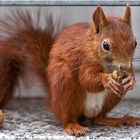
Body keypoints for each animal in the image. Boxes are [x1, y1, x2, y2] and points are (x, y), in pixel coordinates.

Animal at [0, 6, 138, 136]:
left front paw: (130, 79)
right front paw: (107, 79)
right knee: (67, 118)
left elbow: (131, 72)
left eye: (135, 43)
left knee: (98, 119)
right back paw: (73, 126)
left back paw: (123, 119)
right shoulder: (84, 60)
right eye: (106, 45)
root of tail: (53, 101)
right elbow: (86, 79)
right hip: (65, 83)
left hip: (111, 98)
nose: (124, 67)